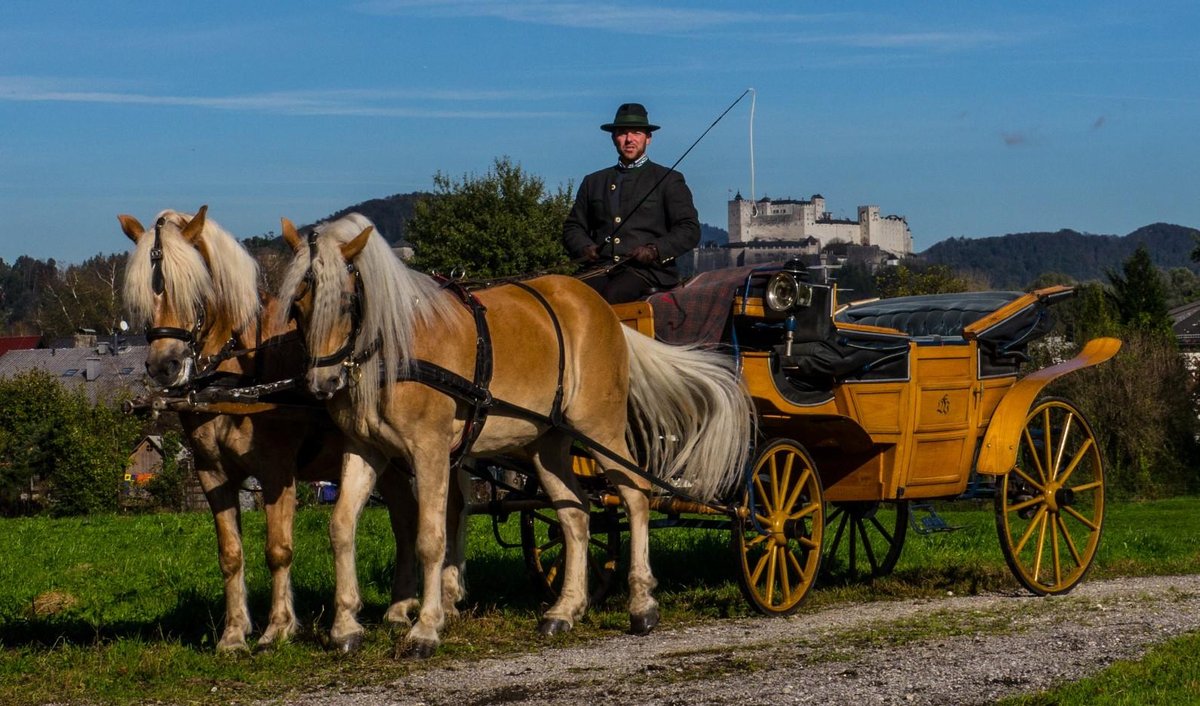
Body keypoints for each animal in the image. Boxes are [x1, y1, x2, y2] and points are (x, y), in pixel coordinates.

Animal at [121, 206, 422, 653]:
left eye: (193, 286)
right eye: (145, 292)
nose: (164, 366)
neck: (237, 377)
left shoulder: (277, 471)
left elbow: (278, 549)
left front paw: (278, 628)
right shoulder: (211, 472)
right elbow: (230, 553)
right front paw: (233, 635)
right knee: (404, 520)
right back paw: (400, 607)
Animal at [279, 213, 748, 657]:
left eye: (346, 302)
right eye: (297, 307)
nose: (322, 384)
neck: (396, 347)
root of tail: (605, 312)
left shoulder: (430, 451)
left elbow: (430, 537)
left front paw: (426, 628)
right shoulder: (364, 450)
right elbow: (341, 526)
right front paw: (345, 628)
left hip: (602, 430)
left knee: (635, 495)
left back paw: (642, 604)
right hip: (548, 445)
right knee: (576, 513)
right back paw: (564, 609)